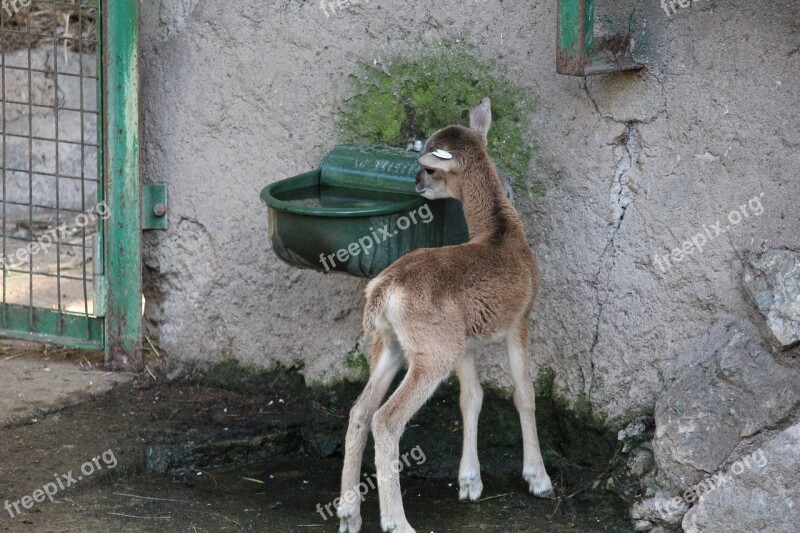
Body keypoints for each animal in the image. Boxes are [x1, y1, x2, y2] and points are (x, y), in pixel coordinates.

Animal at [334, 96, 552, 532]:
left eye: (430, 167)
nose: (417, 183)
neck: (502, 232)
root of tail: (383, 291)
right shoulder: (520, 318)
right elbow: (524, 393)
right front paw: (538, 478)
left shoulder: (465, 340)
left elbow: (472, 397)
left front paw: (469, 482)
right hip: (432, 352)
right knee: (386, 419)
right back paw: (397, 522)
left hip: (392, 344)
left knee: (360, 411)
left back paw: (349, 514)